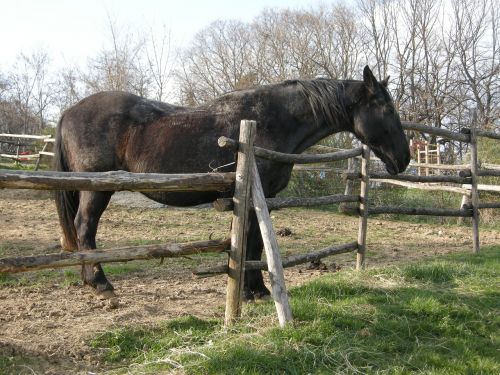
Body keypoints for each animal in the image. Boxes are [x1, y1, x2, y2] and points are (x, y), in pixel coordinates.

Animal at [53, 65, 410, 300]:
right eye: (387, 109)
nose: (404, 158)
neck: (270, 120)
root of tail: (68, 111)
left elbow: (250, 243)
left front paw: (250, 289)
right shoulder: (258, 198)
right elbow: (253, 242)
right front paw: (258, 290)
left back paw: (88, 279)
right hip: (96, 190)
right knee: (85, 228)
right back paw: (100, 282)